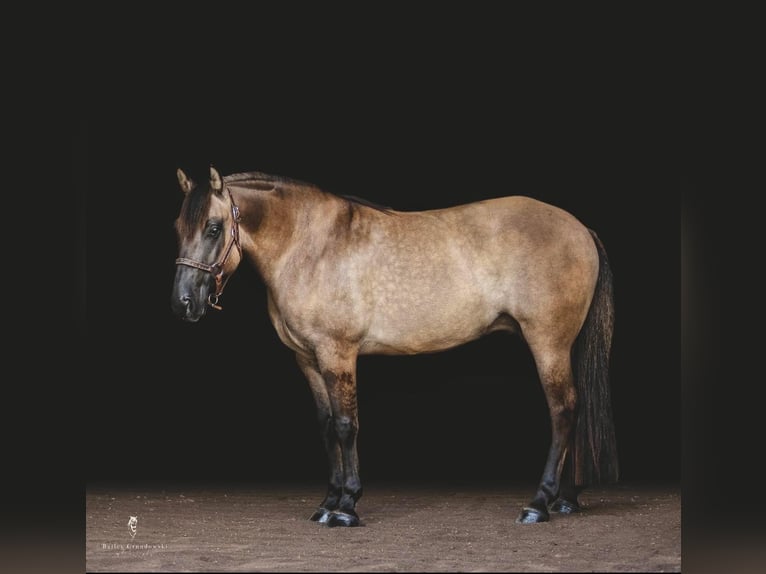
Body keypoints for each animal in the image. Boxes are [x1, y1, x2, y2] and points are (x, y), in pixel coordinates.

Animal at [171, 165, 620, 528]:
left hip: (548, 342)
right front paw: (327, 503)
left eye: (213, 227)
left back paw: (539, 504)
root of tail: (580, 228)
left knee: (563, 411)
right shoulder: (308, 359)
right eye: (178, 227)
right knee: (574, 411)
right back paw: (566, 500)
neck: (311, 246)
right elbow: (326, 426)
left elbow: (346, 425)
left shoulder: (338, 353)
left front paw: (346, 507)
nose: (183, 303)